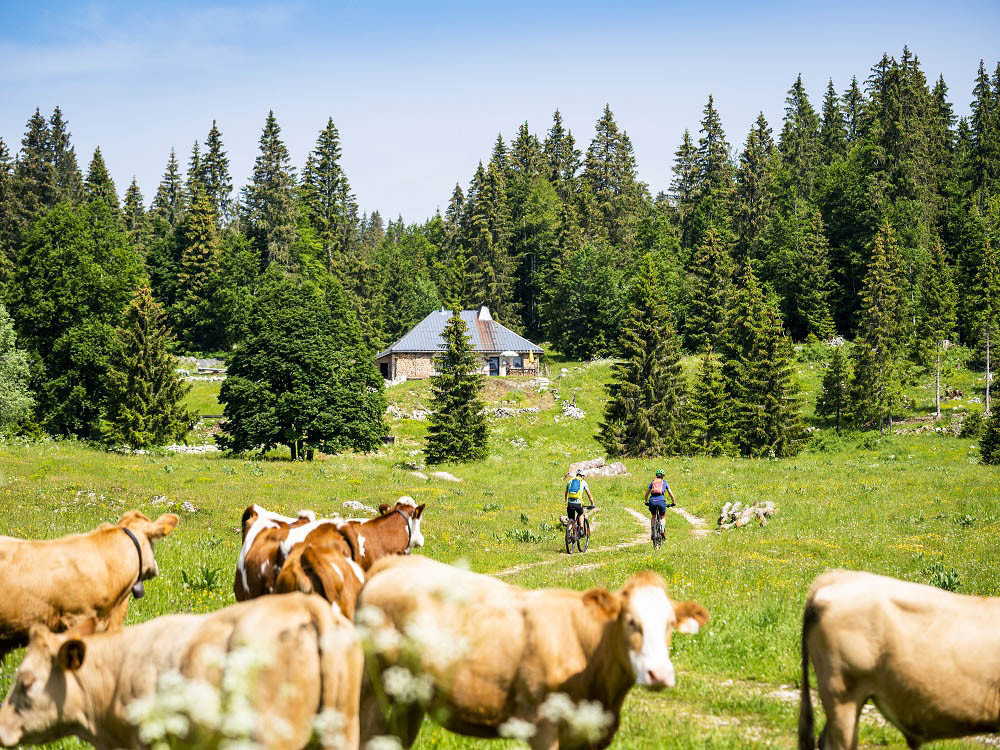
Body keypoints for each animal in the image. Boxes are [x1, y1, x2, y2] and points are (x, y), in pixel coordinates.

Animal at [356, 556, 708, 748]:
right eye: (630, 621)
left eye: (670, 624)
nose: (659, 674)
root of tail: (392, 564)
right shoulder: (542, 728)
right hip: (372, 691)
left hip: (410, 699)